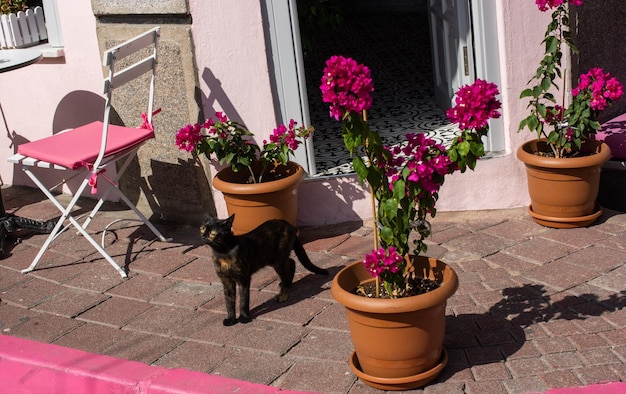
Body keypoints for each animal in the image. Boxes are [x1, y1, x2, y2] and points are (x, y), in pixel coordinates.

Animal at [200, 215, 330, 326]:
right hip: (275, 259)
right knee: (291, 263)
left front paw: (244, 317)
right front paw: (231, 319)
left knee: (289, 266)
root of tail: (288, 224)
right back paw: (286, 284)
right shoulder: (226, 281)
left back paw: (283, 294)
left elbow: (243, 299)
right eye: (202, 229)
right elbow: (229, 301)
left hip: (277, 260)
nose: (204, 236)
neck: (222, 253)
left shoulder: (243, 279)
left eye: (213, 232)